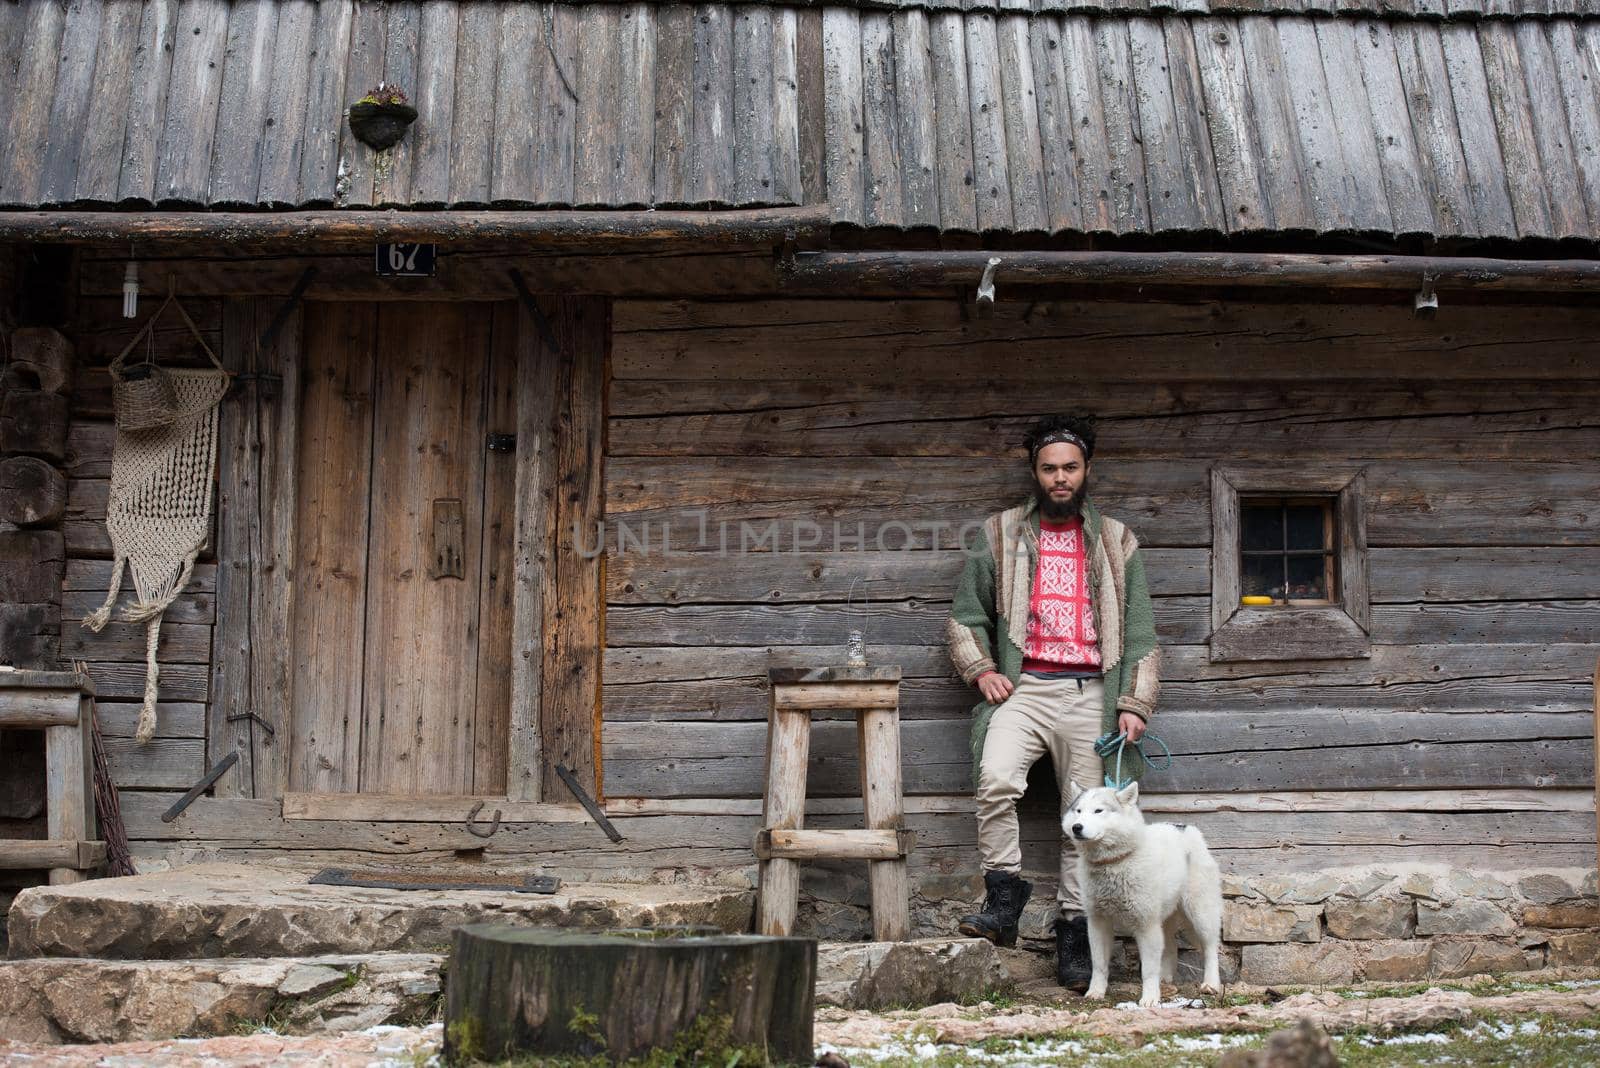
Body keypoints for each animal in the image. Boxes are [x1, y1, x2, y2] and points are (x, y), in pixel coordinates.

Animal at [1062, 780, 1222, 1004]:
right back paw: (1165, 981)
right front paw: (1096, 992)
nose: (1076, 827)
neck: (1114, 862)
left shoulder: (1146, 926)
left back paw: (1211, 984)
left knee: (1210, 949)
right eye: (1078, 811)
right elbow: (1099, 965)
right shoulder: (1098, 923)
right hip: (1165, 920)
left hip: (1200, 915)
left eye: (1098, 811)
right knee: (1171, 947)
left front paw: (1149, 999)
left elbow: (1148, 970)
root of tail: (1186, 828)